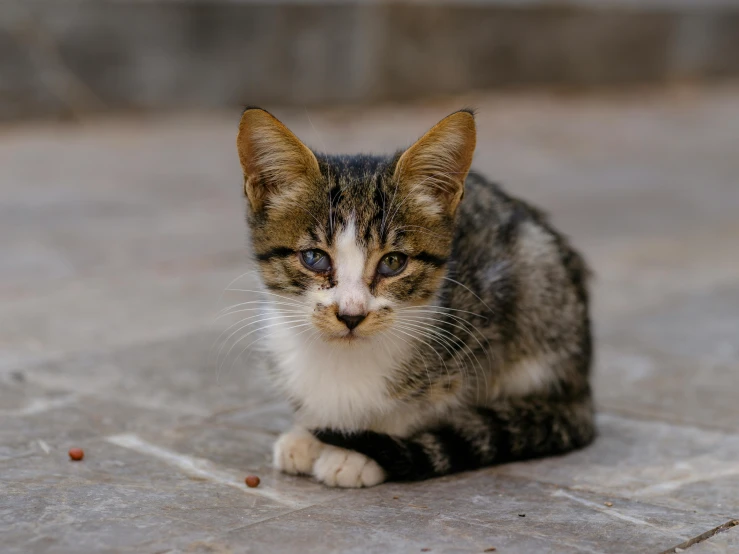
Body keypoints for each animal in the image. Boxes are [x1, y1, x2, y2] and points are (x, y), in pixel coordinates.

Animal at [236, 105, 596, 486]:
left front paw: (356, 452)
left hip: (539, 281)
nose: (351, 315)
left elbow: (428, 403)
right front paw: (308, 431)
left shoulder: (484, 317)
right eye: (314, 258)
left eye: (393, 262)